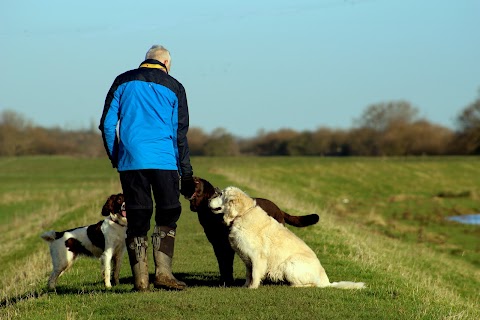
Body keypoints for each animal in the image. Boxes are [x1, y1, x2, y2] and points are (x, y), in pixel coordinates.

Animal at [188, 176, 318, 286]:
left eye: (221, 194)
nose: (208, 200)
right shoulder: (223, 247)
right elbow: (239, 270)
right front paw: (239, 285)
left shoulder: (245, 251)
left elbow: (248, 271)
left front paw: (248, 286)